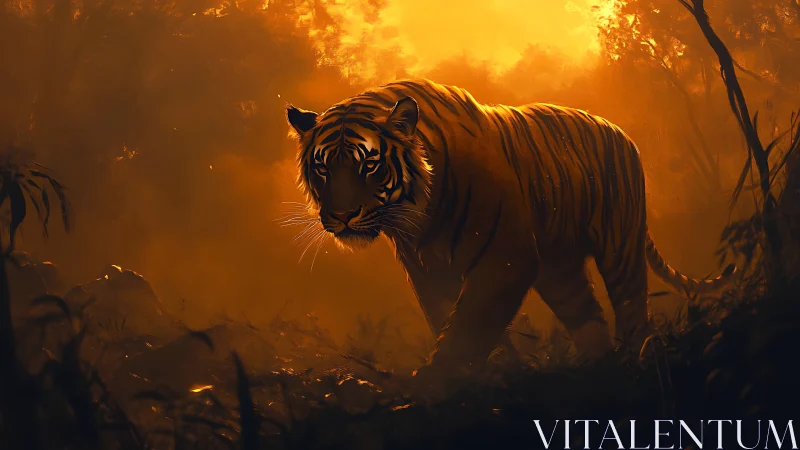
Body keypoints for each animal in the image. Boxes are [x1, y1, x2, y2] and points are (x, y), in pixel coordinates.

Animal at [284, 78, 735, 372]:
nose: (342, 216)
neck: (419, 215)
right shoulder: (428, 271)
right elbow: (451, 321)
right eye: (323, 168)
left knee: (632, 309)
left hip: (619, 246)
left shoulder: (505, 258)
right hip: (559, 267)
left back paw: (637, 363)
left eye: (369, 165)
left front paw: (436, 386)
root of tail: (620, 131)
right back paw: (599, 368)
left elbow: (468, 327)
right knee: (588, 315)